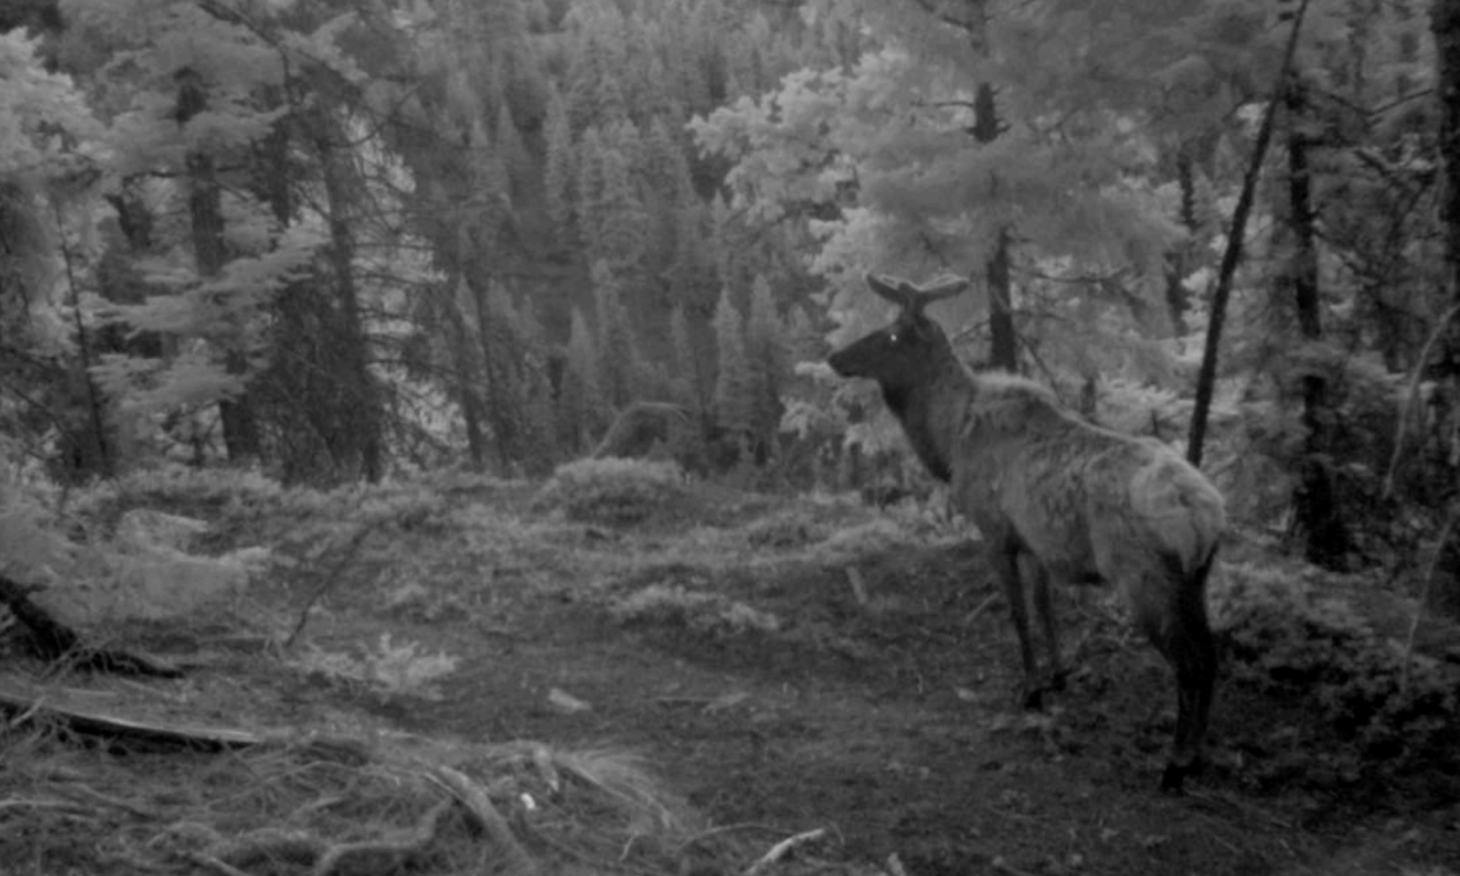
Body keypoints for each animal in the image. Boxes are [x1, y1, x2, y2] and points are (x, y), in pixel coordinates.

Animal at [828, 273, 1227, 792]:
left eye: (892, 334)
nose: (835, 357)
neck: (947, 442)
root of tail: (1206, 515)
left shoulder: (994, 530)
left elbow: (1017, 613)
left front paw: (1031, 689)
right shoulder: (1036, 542)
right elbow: (1045, 608)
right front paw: (1059, 676)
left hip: (1142, 578)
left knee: (1189, 663)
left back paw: (1176, 762)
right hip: (1196, 580)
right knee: (1212, 655)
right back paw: (1196, 755)